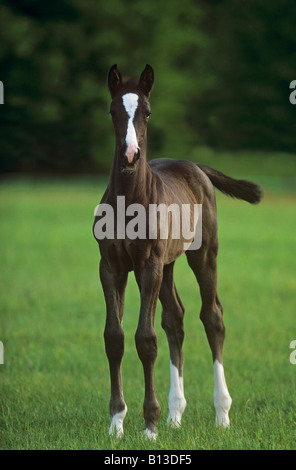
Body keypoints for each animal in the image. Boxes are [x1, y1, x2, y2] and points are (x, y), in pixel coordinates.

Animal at [92, 64, 262, 438]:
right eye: (112, 112)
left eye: (147, 112)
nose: (130, 155)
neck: (130, 202)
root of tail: (196, 166)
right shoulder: (111, 266)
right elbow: (114, 337)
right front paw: (117, 423)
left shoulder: (148, 265)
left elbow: (145, 339)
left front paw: (149, 426)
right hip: (168, 265)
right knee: (176, 318)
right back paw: (176, 414)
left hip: (203, 255)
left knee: (212, 317)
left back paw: (222, 415)